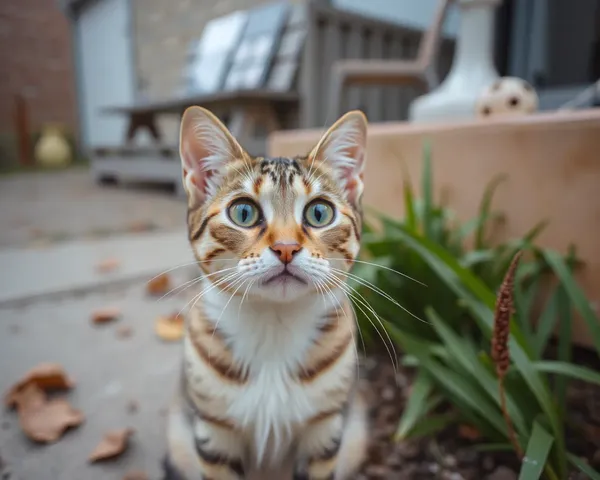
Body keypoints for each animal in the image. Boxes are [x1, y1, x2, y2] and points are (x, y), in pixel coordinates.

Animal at [165, 106, 370, 480]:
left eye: (320, 212)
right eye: (244, 212)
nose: (286, 247)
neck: (275, 327)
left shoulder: (324, 430)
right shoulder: (215, 433)